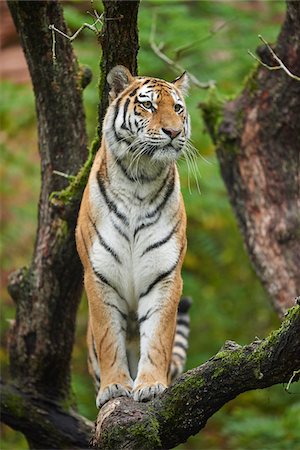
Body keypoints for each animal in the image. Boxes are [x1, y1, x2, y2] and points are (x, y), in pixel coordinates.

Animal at [76, 66, 191, 408]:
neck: (139, 180)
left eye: (177, 108)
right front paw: (114, 387)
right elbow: (108, 337)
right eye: (148, 105)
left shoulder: (165, 275)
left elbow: (157, 336)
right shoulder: (98, 275)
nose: (173, 132)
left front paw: (151, 385)